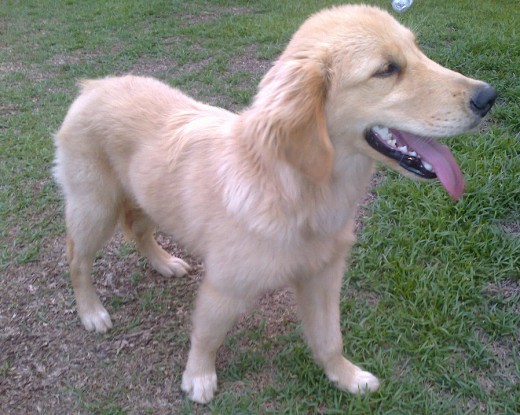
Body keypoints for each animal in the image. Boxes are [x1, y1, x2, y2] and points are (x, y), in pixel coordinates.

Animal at [52, 4, 496, 404]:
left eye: (418, 51)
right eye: (387, 69)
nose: (489, 96)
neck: (298, 193)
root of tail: (93, 86)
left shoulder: (323, 276)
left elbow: (330, 339)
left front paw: (346, 377)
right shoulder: (224, 287)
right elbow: (207, 336)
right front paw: (198, 378)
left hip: (145, 198)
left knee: (139, 231)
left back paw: (164, 263)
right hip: (95, 207)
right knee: (76, 258)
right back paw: (91, 312)